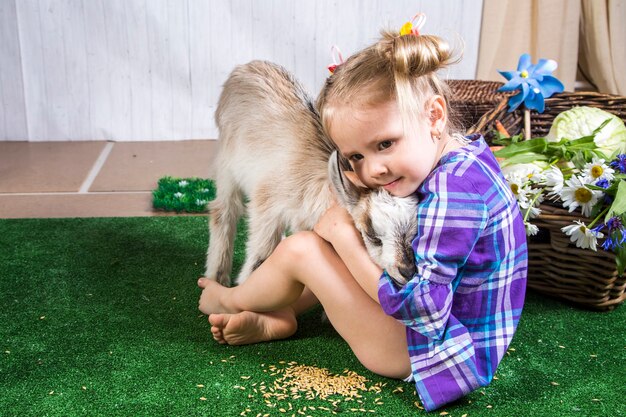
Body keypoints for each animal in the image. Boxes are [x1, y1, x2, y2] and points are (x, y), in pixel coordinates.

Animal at [205, 59, 416, 286]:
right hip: (227, 165)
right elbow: (259, 258)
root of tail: (247, 66)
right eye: (372, 235)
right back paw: (217, 277)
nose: (407, 270)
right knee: (224, 210)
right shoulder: (266, 207)